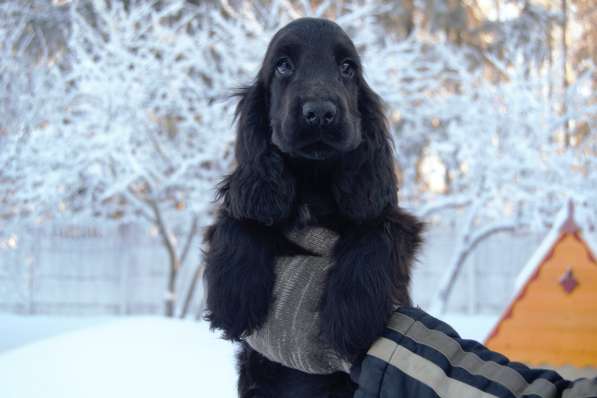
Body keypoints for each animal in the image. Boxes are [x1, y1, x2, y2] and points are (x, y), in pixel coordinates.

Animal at [205, 17, 424, 398]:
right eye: (283, 65)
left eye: (347, 68)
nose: (320, 113)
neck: (313, 177)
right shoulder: (249, 193)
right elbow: (238, 220)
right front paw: (234, 302)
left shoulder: (393, 217)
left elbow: (376, 234)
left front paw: (353, 321)